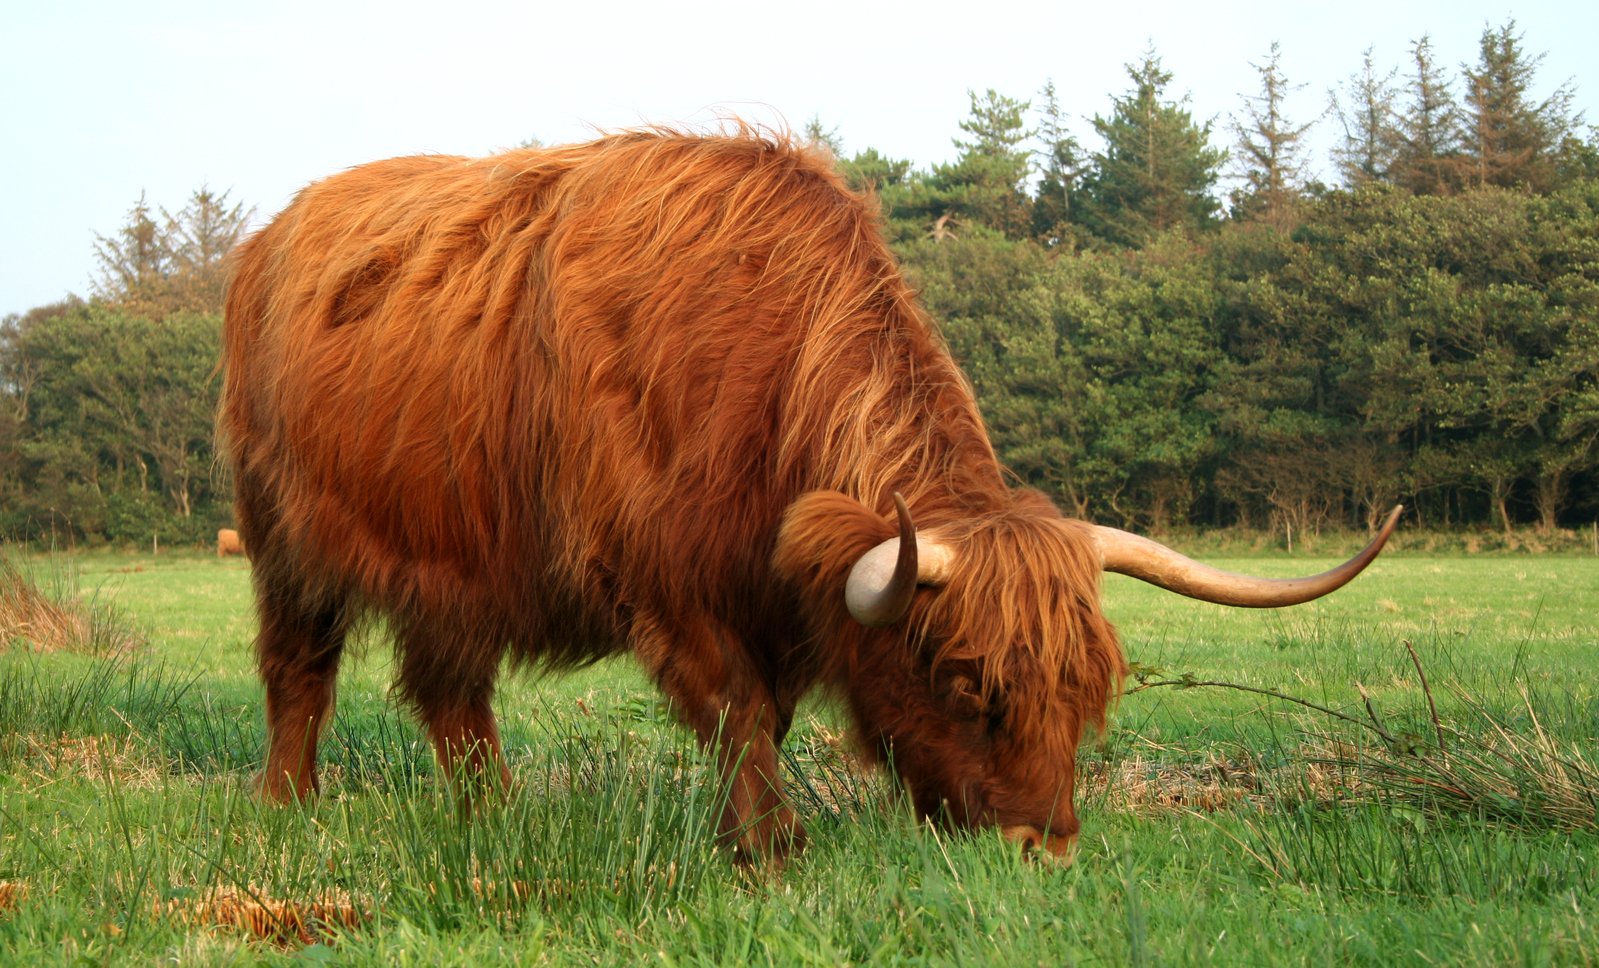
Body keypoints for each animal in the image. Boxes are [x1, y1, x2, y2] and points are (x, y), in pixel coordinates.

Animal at [219, 128, 1394, 857]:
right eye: (966, 679)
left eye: (1088, 688)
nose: (1043, 845)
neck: (761, 371)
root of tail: (275, 231)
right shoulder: (669, 579)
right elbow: (739, 711)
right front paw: (772, 848)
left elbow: (770, 716)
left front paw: (754, 834)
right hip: (282, 536)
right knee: (299, 668)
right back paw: (287, 803)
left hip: (452, 558)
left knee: (451, 690)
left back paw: (491, 815)